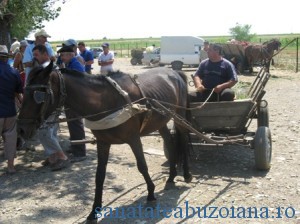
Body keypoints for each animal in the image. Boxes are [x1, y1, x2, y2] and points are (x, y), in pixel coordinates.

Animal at [17, 61, 192, 222]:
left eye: (39, 94)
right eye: (24, 92)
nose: (21, 129)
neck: (106, 102)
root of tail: (175, 73)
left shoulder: (134, 139)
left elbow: (142, 166)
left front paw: (151, 194)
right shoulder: (103, 142)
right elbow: (99, 175)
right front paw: (94, 210)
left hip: (179, 115)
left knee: (183, 139)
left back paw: (187, 174)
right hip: (161, 121)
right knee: (170, 143)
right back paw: (171, 177)